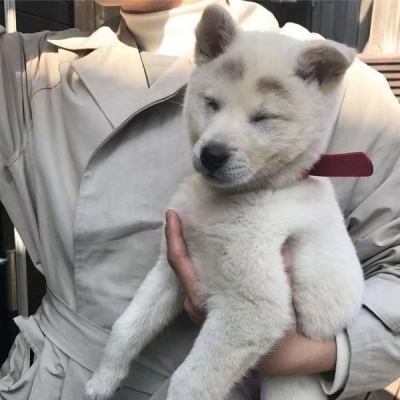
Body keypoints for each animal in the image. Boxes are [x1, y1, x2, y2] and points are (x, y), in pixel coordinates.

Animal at [86, 6, 364, 400]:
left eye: (264, 117)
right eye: (212, 104)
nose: (212, 154)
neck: (233, 200)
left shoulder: (251, 306)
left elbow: (189, 382)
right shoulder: (171, 268)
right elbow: (127, 328)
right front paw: (102, 380)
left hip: (291, 381)